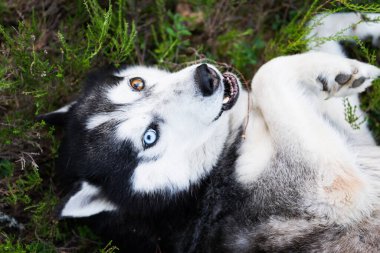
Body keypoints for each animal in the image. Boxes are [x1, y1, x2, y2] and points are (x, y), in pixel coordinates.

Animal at [39, 13, 380, 251]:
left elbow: (316, 25)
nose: (206, 78)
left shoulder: (354, 137)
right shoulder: (333, 186)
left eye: (136, 83)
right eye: (150, 137)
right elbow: (266, 71)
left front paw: (366, 28)